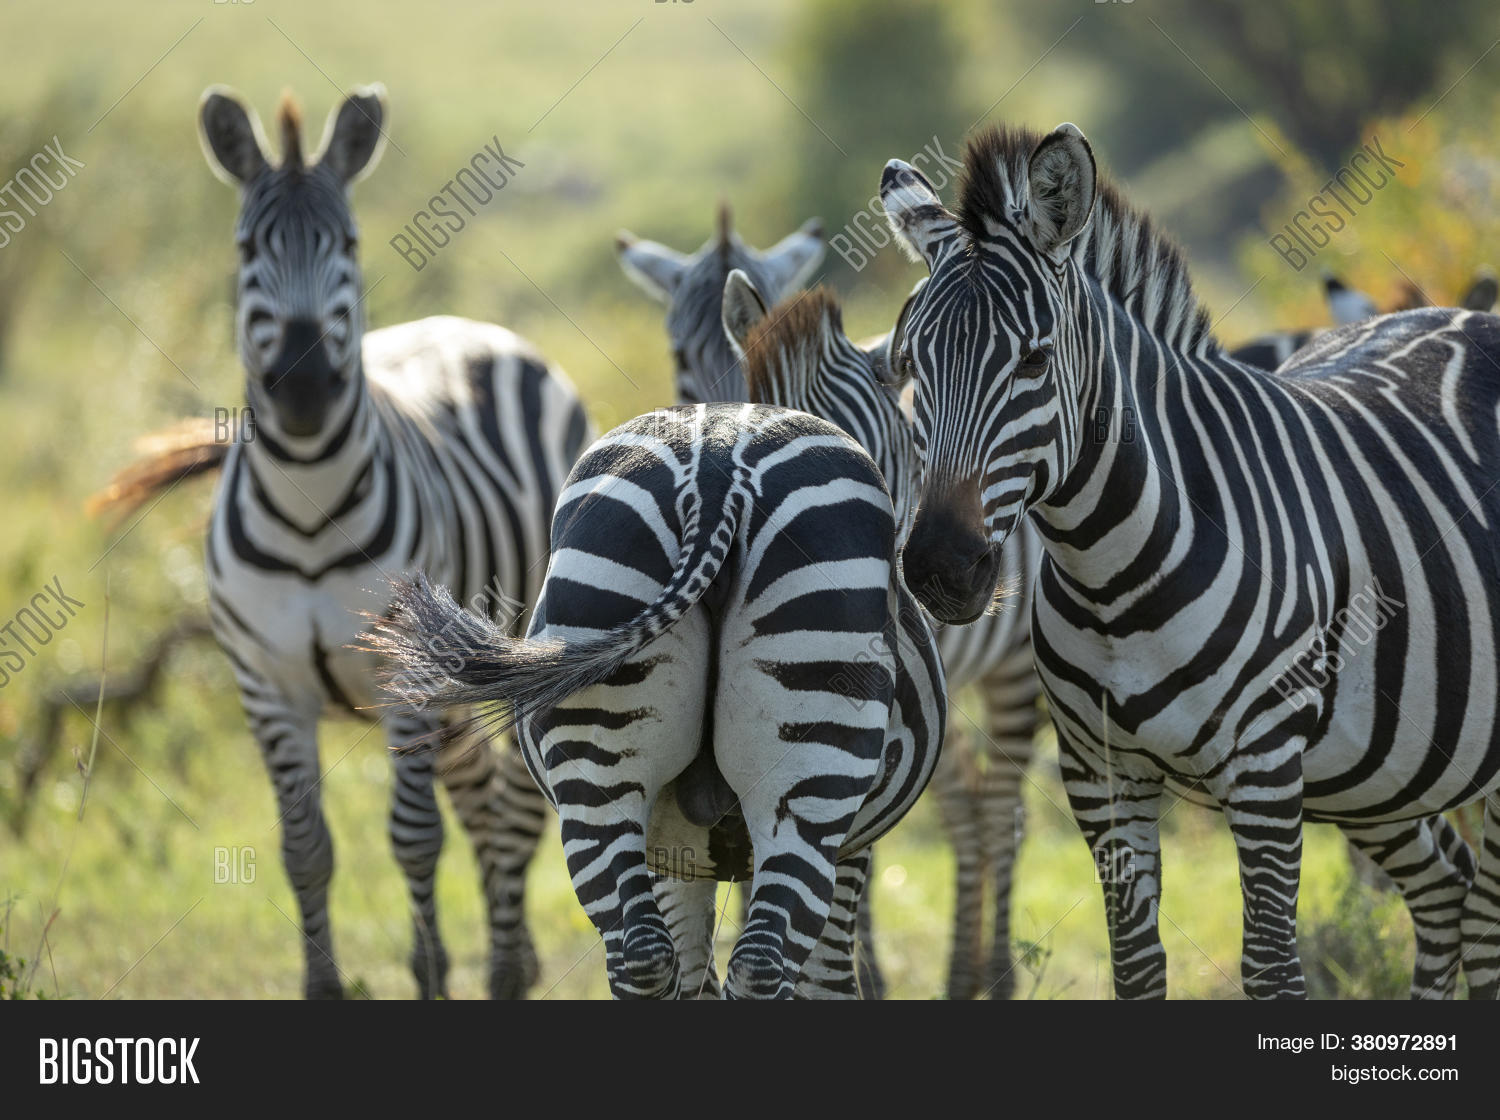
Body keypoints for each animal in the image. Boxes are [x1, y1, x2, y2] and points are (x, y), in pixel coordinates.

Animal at [182, 84, 591, 997]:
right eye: (246, 248)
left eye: (349, 244)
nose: (302, 389)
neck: (307, 508)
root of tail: (472, 324)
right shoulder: (265, 684)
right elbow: (305, 850)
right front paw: (324, 986)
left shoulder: (401, 681)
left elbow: (413, 839)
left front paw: (432, 977)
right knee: (482, 800)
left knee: (513, 808)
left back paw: (505, 969)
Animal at [372, 403, 946, 998]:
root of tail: (717, 468)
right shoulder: (848, 848)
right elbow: (820, 980)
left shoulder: (673, 846)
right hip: (811, 765)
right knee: (758, 962)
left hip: (599, 741)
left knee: (643, 954)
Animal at [879, 122, 1500, 999]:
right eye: (907, 366)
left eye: (1033, 360)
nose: (940, 566)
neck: (1110, 576)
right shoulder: (1099, 773)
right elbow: (1136, 967)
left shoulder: (1265, 765)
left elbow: (1271, 968)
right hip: (1385, 767)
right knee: (1448, 887)